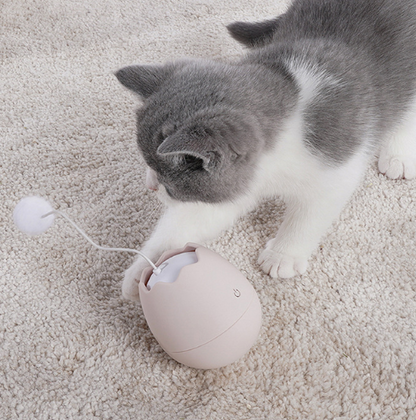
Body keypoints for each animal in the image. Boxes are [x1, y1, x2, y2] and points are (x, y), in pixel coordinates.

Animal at [115, 0, 416, 302]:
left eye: (168, 183)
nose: (150, 185)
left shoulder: (336, 164)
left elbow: (309, 215)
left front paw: (283, 255)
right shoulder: (238, 184)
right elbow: (192, 218)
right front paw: (143, 269)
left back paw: (398, 153)